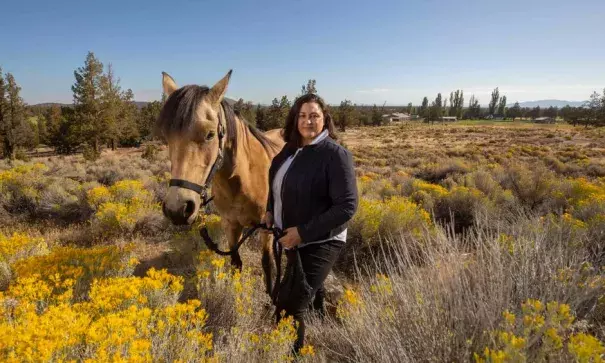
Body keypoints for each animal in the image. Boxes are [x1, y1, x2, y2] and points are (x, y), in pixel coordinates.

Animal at [158, 69, 286, 294]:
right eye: (167, 137)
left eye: (210, 134)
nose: (177, 209)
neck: (242, 181)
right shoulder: (231, 224)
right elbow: (235, 262)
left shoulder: (266, 229)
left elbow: (267, 264)